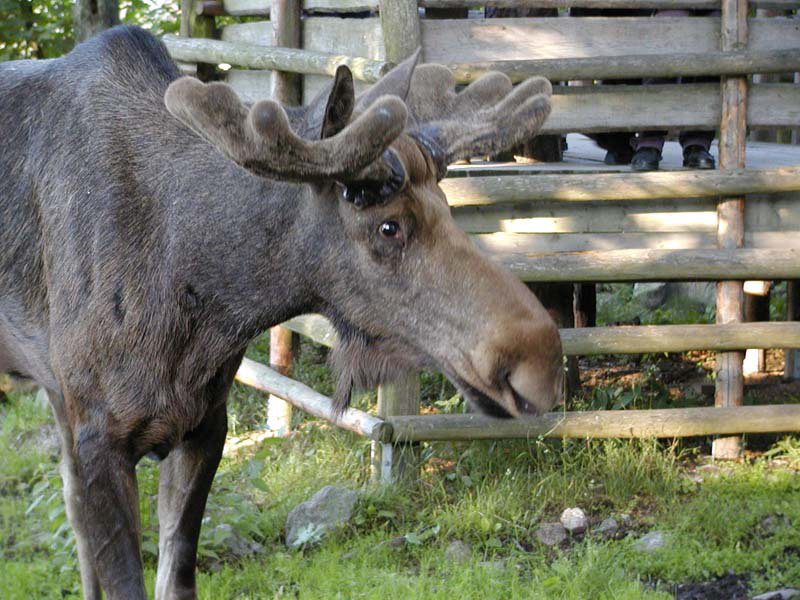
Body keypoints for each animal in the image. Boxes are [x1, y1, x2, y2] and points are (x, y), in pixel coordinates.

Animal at [0, 25, 563, 599]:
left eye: (447, 208)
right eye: (388, 226)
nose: (543, 362)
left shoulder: (204, 424)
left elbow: (173, 575)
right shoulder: (104, 438)